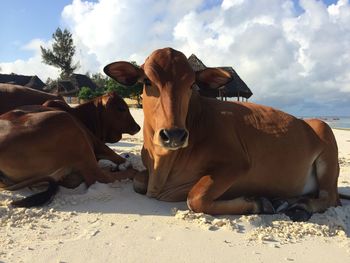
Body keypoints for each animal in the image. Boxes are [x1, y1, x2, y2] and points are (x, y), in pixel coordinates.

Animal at [103, 48, 348, 223]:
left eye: (192, 84)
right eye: (147, 81)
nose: (173, 134)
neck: (162, 164)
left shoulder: (237, 163)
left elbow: (196, 197)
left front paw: (259, 203)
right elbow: (138, 180)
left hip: (325, 136)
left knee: (330, 198)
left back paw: (301, 206)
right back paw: (286, 200)